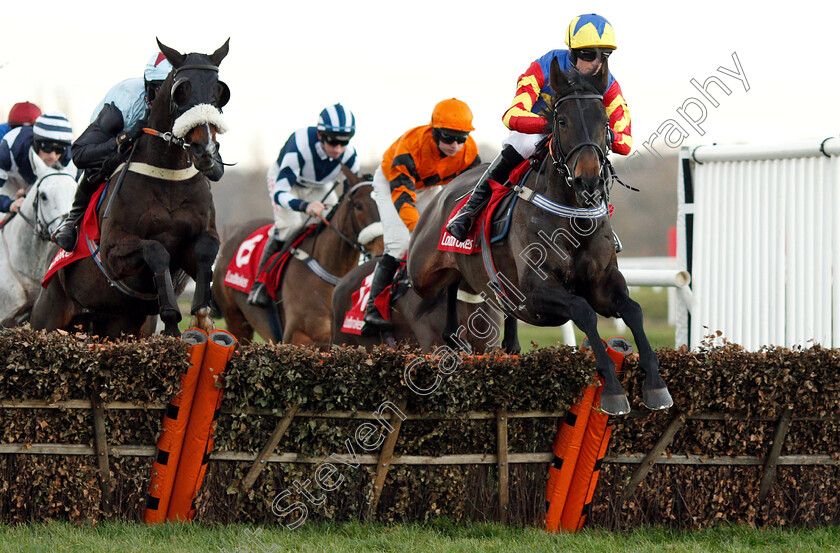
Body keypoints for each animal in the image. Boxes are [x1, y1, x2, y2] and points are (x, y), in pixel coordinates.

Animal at [31, 38, 231, 336]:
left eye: (220, 91)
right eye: (180, 91)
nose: (204, 149)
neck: (167, 175)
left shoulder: (200, 239)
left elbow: (205, 252)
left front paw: (202, 315)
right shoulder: (113, 253)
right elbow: (156, 250)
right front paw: (172, 317)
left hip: (117, 325)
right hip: (48, 319)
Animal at [404, 57, 672, 414]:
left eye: (605, 122)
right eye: (561, 120)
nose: (589, 181)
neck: (573, 216)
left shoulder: (602, 283)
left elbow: (633, 310)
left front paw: (656, 385)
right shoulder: (536, 292)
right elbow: (583, 311)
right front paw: (613, 390)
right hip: (422, 271)